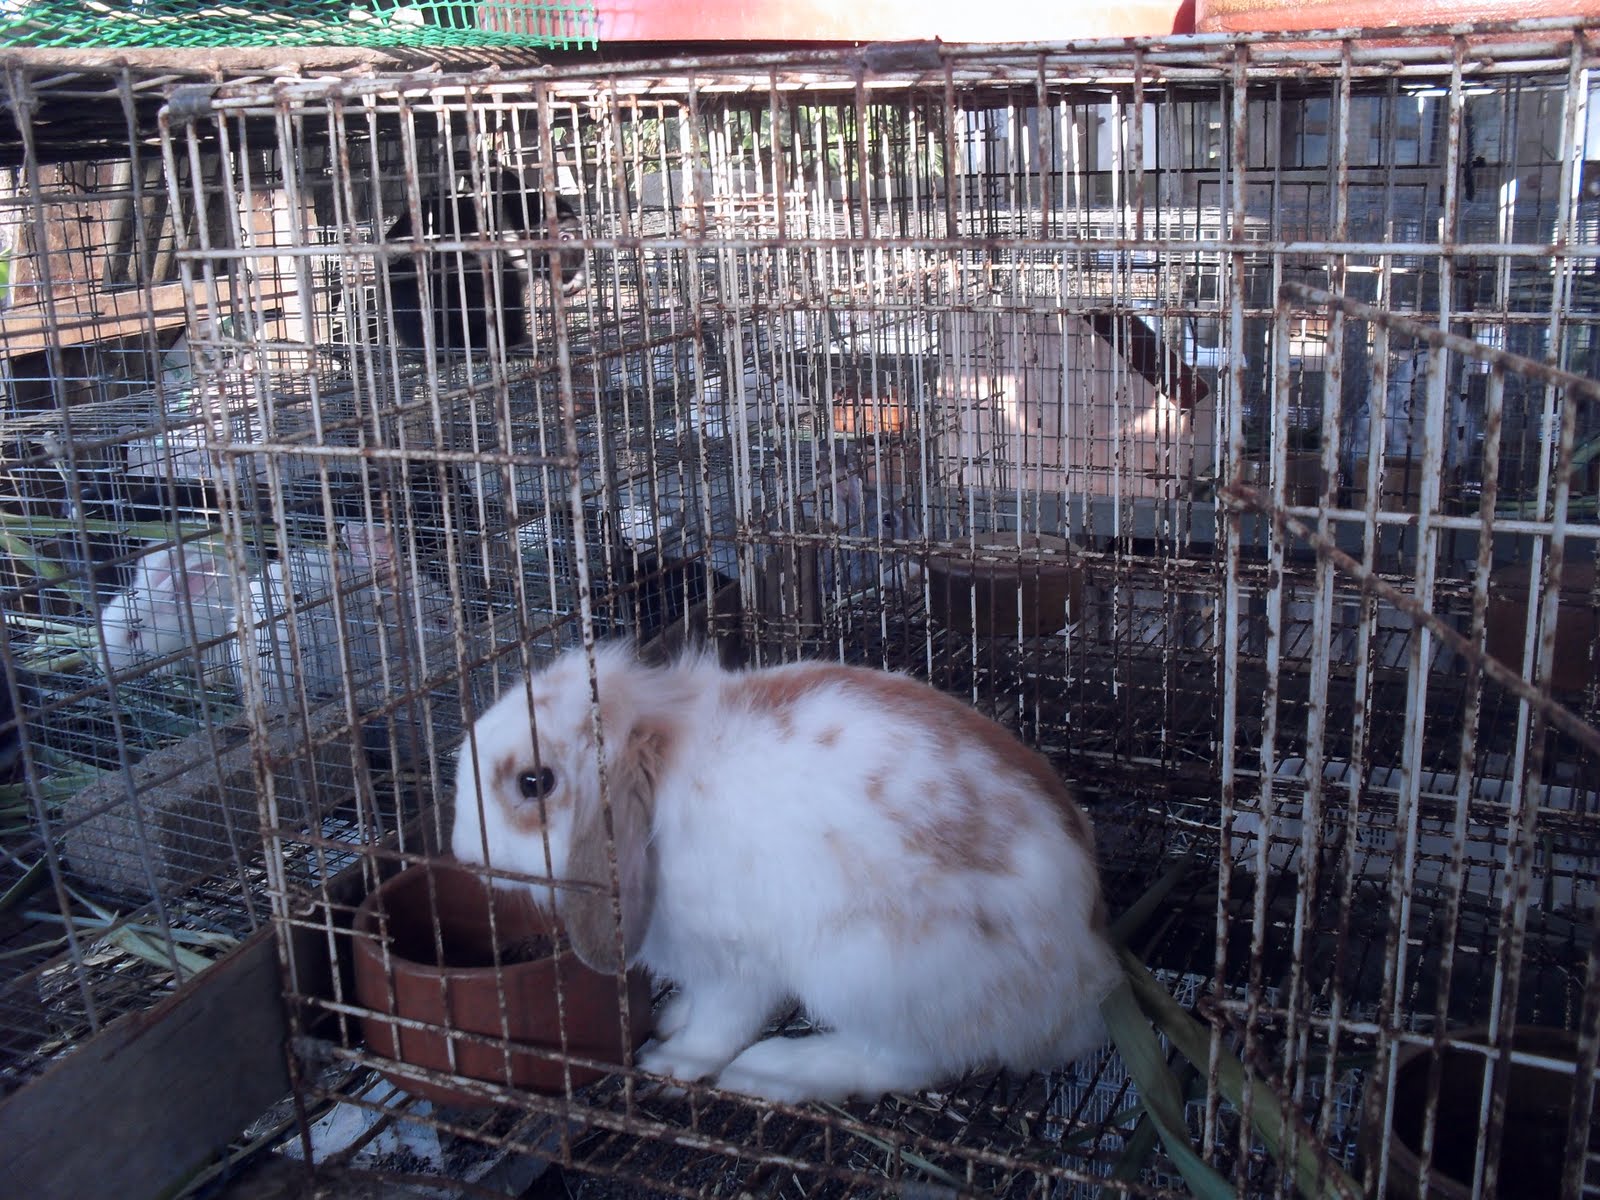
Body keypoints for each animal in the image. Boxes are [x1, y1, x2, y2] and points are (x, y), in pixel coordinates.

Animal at [451, 643, 1118, 1104]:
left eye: (533, 782)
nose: (461, 852)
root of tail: (1085, 987)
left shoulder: (738, 961)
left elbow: (721, 1023)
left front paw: (672, 1064)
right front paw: (672, 1017)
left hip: (867, 969)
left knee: (905, 1061)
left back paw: (775, 1071)